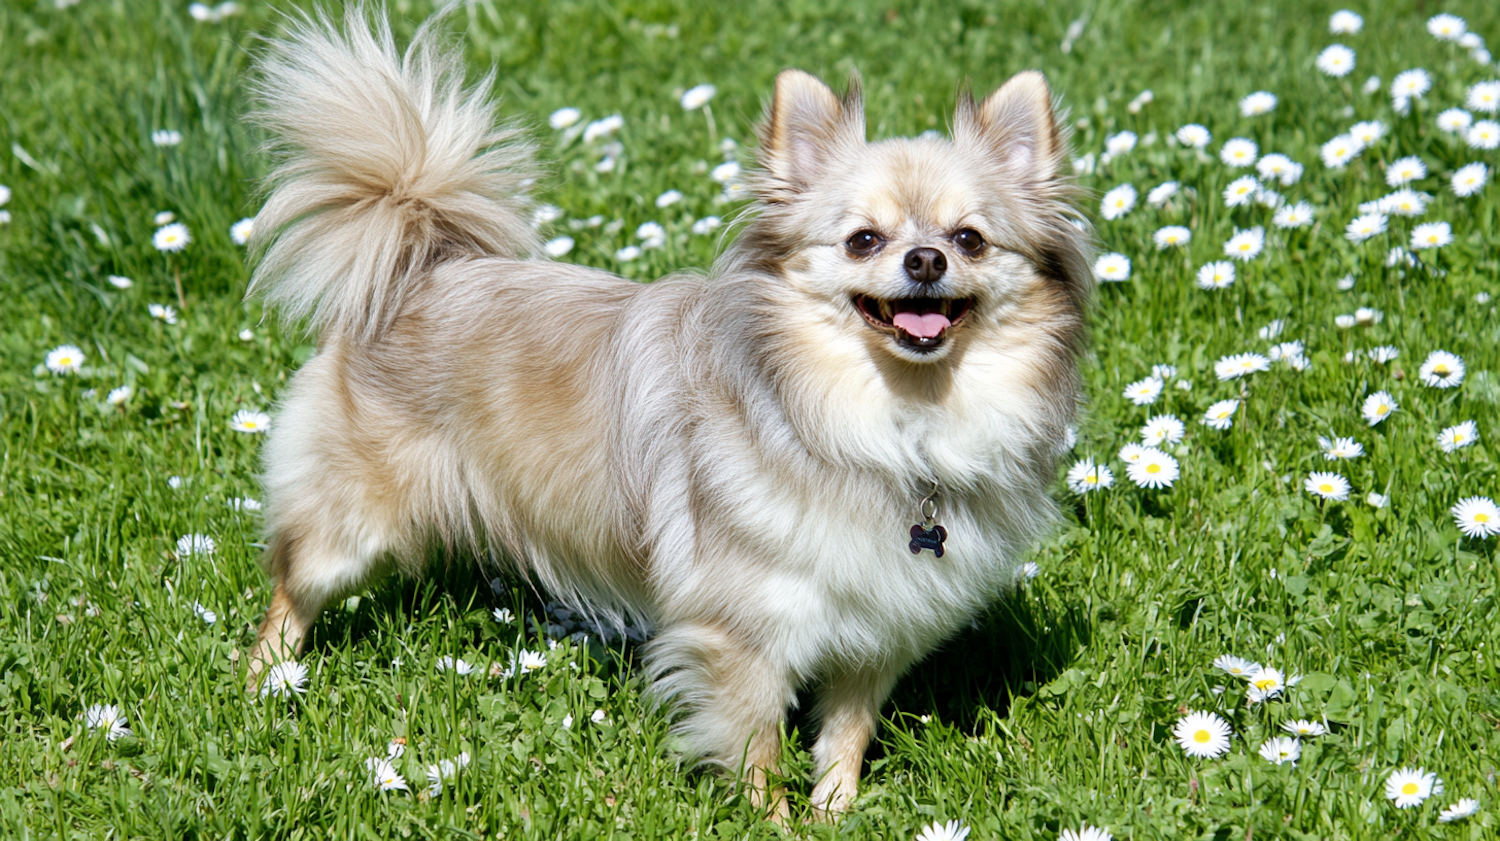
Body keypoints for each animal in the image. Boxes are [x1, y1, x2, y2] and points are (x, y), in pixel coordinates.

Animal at [246, 6, 1092, 815]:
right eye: (863, 240)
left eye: (970, 239)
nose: (925, 259)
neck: (894, 425)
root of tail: (420, 263)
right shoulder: (743, 637)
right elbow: (758, 751)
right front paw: (774, 819)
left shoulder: (874, 634)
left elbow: (845, 737)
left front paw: (836, 811)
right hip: (349, 528)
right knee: (292, 587)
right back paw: (264, 683)